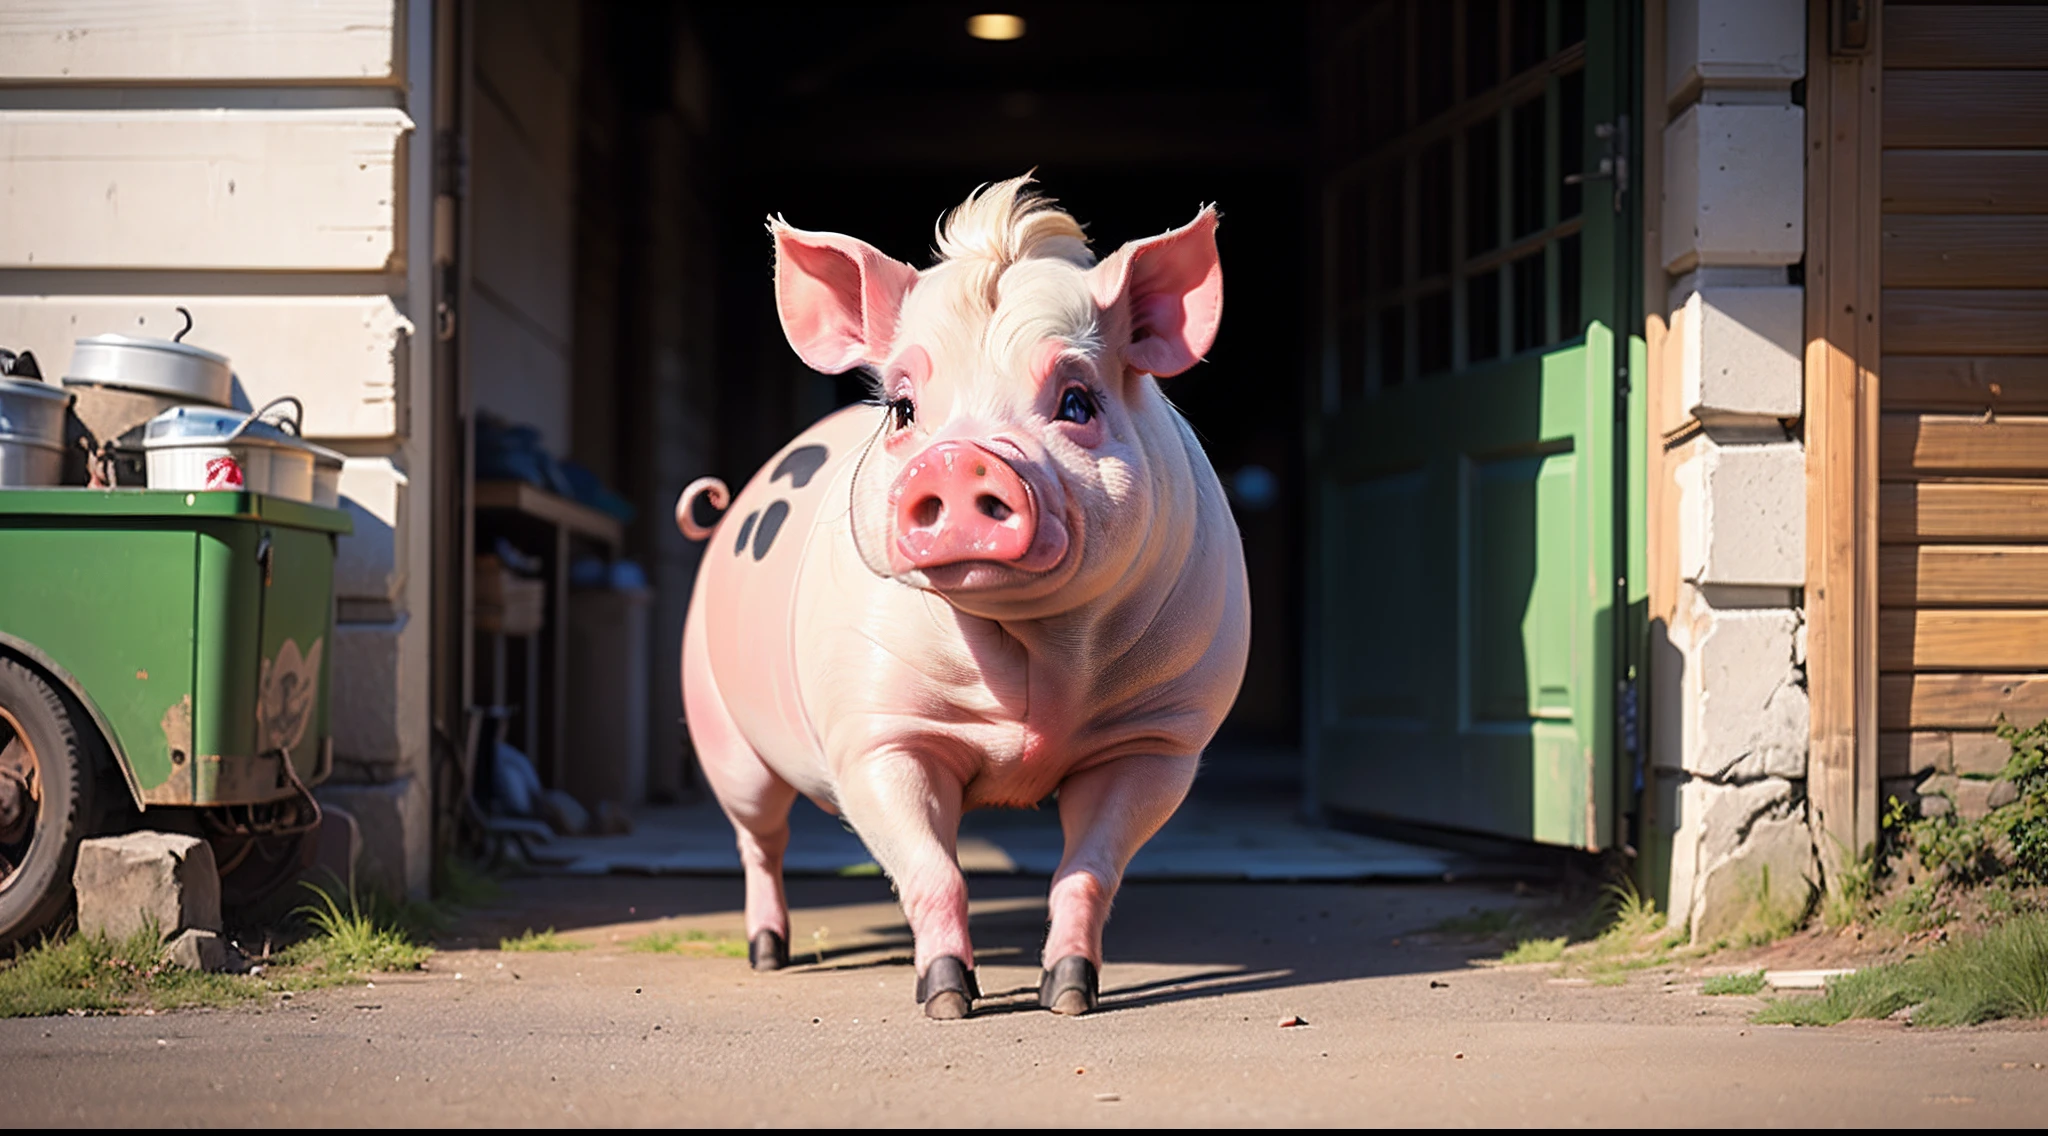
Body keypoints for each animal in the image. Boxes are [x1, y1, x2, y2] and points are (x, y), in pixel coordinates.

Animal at [675, 176, 1245, 1023]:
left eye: (1078, 401)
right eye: (904, 409)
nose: (956, 458)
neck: (1033, 663)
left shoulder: (1160, 739)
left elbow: (1088, 871)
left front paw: (1069, 999)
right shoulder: (875, 734)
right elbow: (934, 871)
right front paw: (947, 1003)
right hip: (720, 730)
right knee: (759, 841)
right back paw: (768, 957)